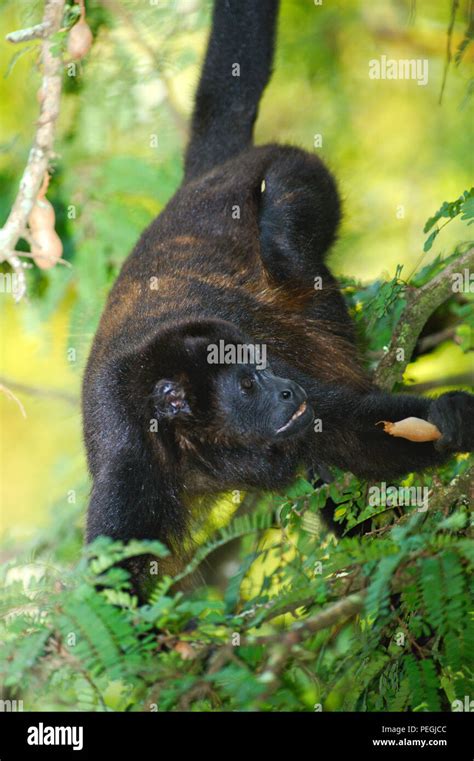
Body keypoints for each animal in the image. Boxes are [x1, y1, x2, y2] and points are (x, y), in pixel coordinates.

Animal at [83, 0, 474, 585]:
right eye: (247, 384)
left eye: (264, 365)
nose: (288, 391)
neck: (194, 443)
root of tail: (199, 182)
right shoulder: (127, 465)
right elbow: (113, 585)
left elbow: (352, 430)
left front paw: (451, 416)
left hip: (294, 163)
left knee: (284, 244)